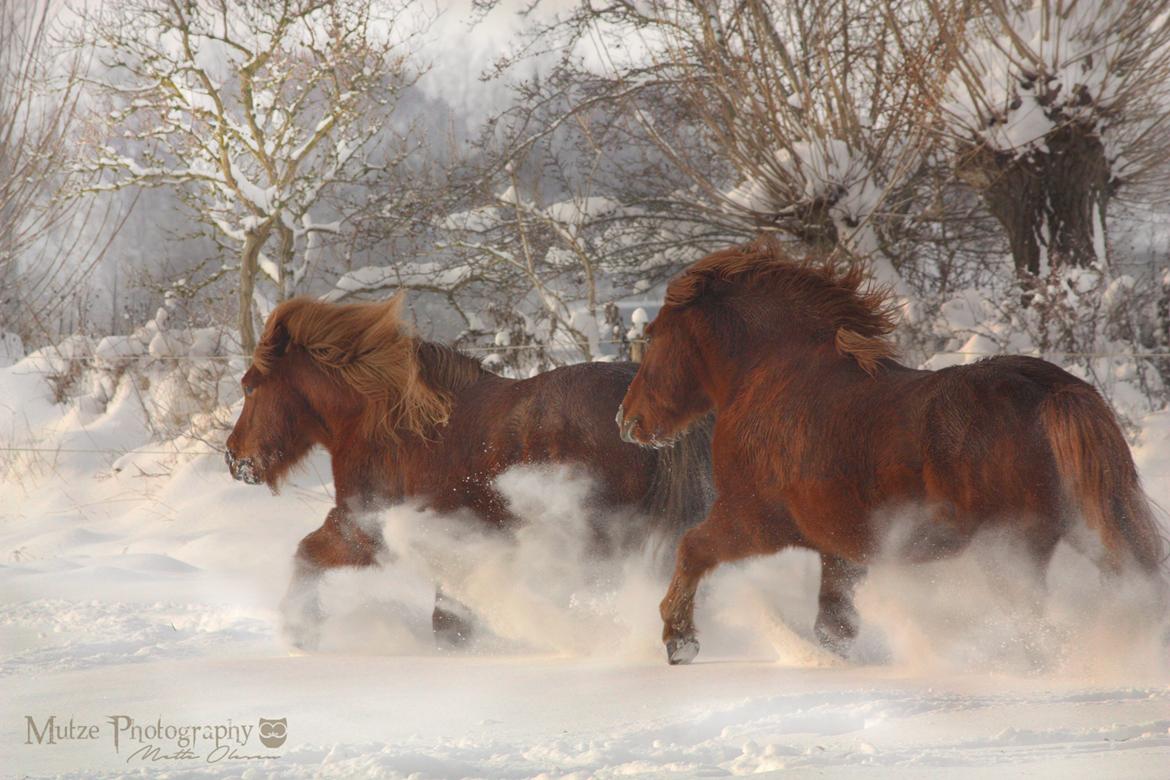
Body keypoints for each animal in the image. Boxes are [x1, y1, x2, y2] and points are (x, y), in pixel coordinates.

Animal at [223, 291, 706, 645]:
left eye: (249, 386)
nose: (234, 458)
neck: (387, 422)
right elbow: (450, 618)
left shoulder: (364, 530)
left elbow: (307, 554)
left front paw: (300, 629)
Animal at [617, 239, 1165, 664]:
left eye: (655, 337)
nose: (627, 421)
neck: (772, 377)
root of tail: (1052, 392)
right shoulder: (840, 548)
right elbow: (833, 624)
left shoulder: (753, 520)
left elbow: (693, 548)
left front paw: (678, 640)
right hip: (1084, 530)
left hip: (1011, 552)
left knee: (1036, 629)